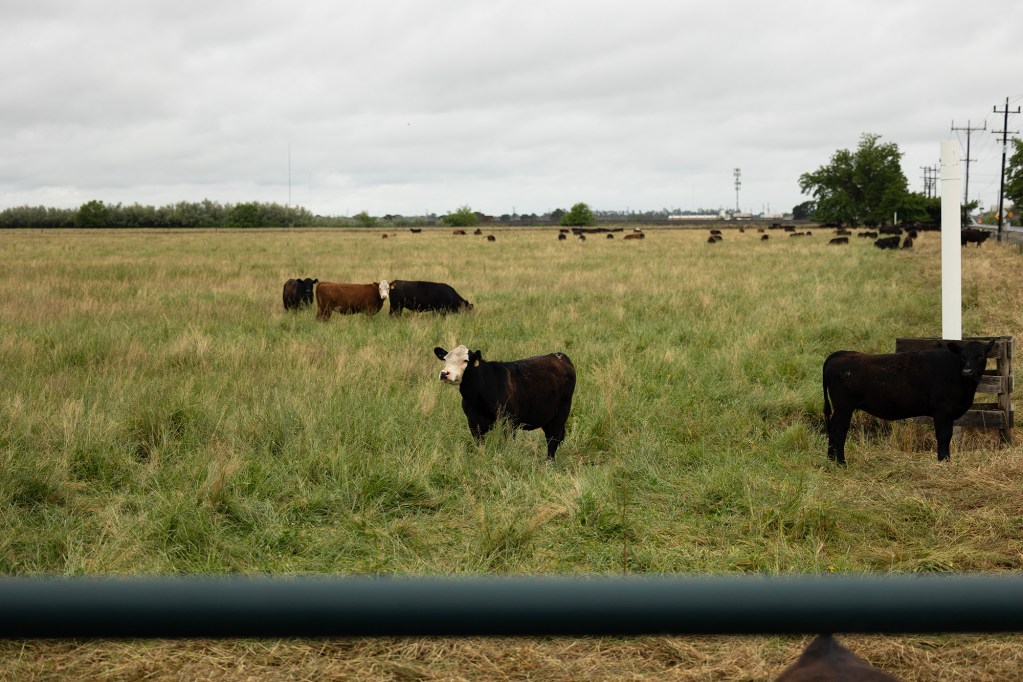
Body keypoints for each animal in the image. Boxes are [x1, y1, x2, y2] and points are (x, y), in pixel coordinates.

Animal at [434, 345, 576, 460]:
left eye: (465, 360)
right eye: (445, 359)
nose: (444, 373)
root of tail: (559, 356)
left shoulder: (508, 422)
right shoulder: (473, 423)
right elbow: (480, 446)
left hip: (561, 413)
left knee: (553, 439)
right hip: (547, 417)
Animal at [822, 339, 996, 464]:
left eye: (981, 355)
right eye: (963, 357)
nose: (967, 371)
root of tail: (841, 354)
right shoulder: (942, 410)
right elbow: (944, 435)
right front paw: (943, 461)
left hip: (840, 409)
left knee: (833, 428)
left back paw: (830, 459)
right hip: (844, 408)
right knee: (840, 431)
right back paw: (841, 462)